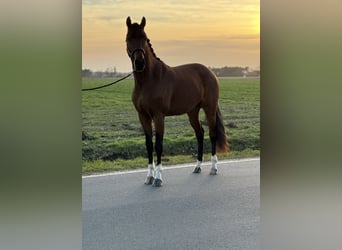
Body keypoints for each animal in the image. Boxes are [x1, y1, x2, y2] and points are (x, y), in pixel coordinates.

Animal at [126, 16, 230, 187]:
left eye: (144, 38)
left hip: (209, 108)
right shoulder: (143, 116)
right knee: (200, 134)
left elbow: (159, 145)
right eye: (128, 39)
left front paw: (158, 178)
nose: (139, 63)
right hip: (192, 111)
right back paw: (197, 167)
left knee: (212, 134)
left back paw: (213, 168)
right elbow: (149, 145)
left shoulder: (159, 116)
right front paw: (149, 177)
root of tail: (210, 72)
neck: (149, 80)